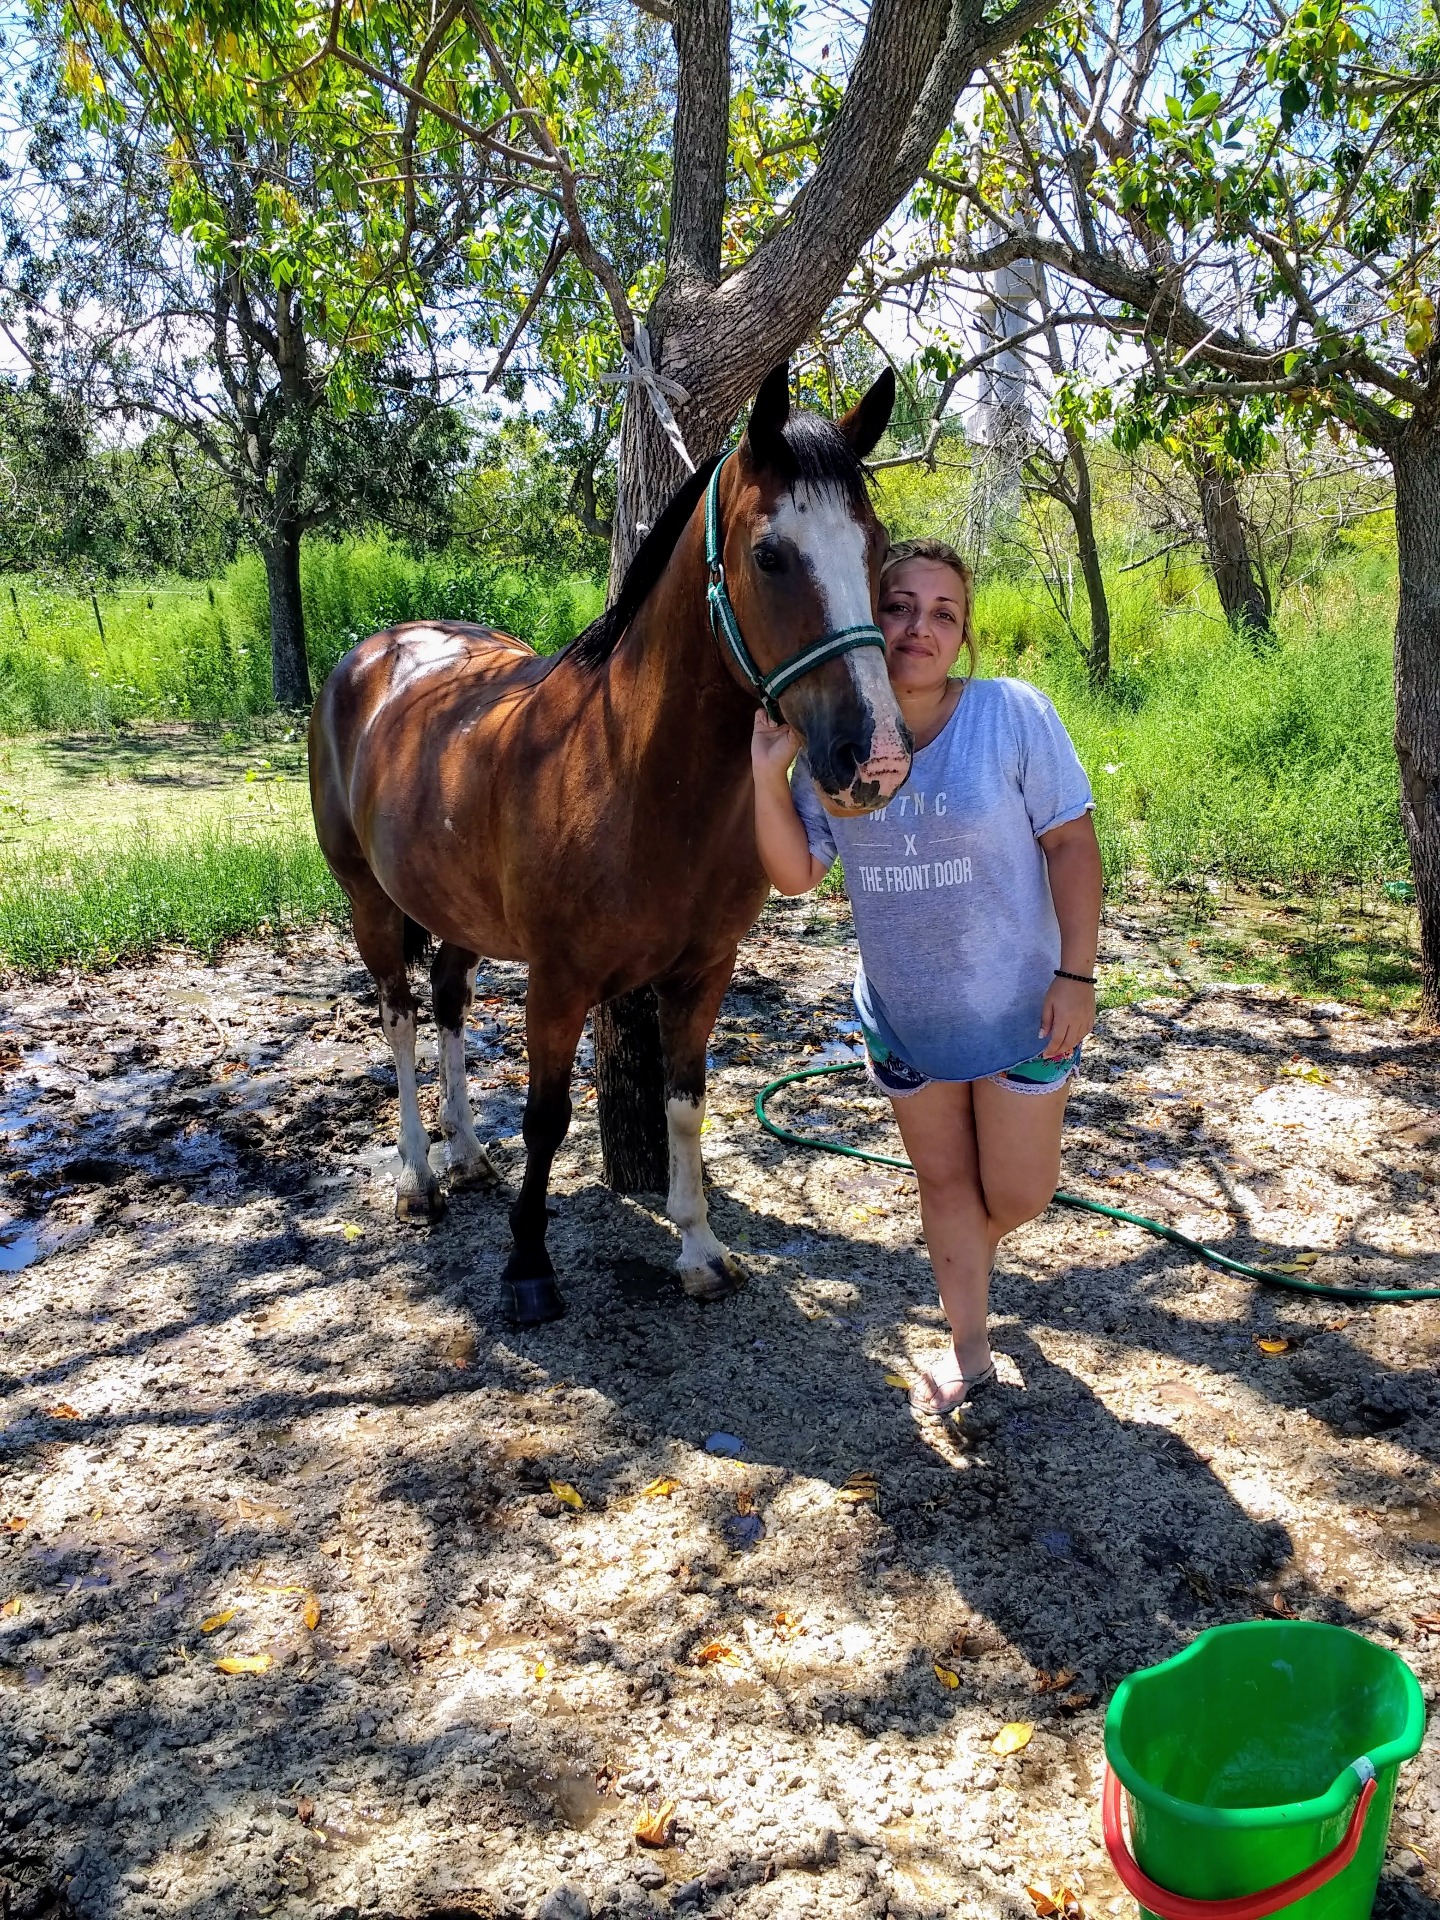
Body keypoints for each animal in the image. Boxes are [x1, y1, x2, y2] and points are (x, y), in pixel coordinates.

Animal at [309, 357, 913, 1320]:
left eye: (877, 548)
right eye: (770, 554)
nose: (877, 757)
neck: (628, 769)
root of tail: (376, 653)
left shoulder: (703, 974)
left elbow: (685, 1103)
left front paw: (699, 1247)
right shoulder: (558, 983)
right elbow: (547, 1118)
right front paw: (528, 1265)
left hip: (455, 911)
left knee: (446, 1003)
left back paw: (465, 1153)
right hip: (369, 901)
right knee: (400, 1020)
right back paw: (417, 1176)